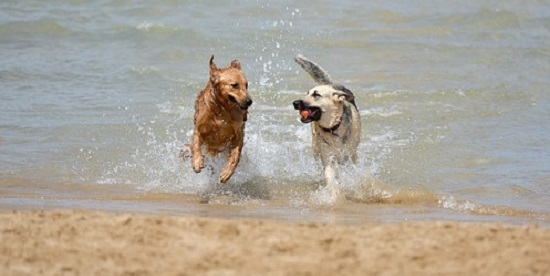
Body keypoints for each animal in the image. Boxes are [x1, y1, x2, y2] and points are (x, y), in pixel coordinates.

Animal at [191, 55, 253, 183]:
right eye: (234, 85)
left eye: (246, 85)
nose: (249, 101)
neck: (223, 111)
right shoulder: (199, 128)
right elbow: (196, 144)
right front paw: (197, 162)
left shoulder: (238, 134)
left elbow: (235, 156)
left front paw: (227, 172)